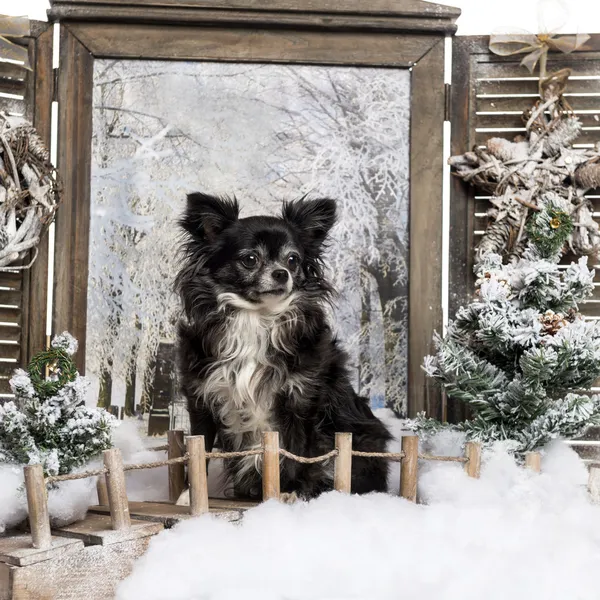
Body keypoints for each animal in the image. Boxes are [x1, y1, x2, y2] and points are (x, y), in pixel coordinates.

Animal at [175, 193, 390, 502]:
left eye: (293, 259)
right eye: (250, 259)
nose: (281, 273)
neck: (256, 319)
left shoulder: (301, 401)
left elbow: (297, 452)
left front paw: (291, 491)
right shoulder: (201, 399)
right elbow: (199, 450)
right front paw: (188, 497)